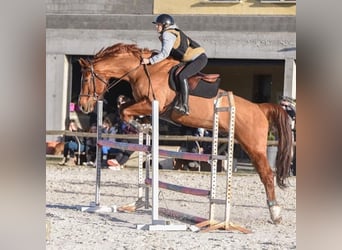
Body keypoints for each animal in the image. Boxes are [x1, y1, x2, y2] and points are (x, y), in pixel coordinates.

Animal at [77, 43, 292, 225]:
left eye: (86, 79)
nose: (83, 106)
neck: (142, 70)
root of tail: (260, 108)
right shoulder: (142, 103)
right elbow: (124, 107)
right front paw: (144, 127)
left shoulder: (152, 104)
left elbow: (124, 111)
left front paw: (138, 126)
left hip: (253, 146)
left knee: (267, 174)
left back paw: (275, 213)